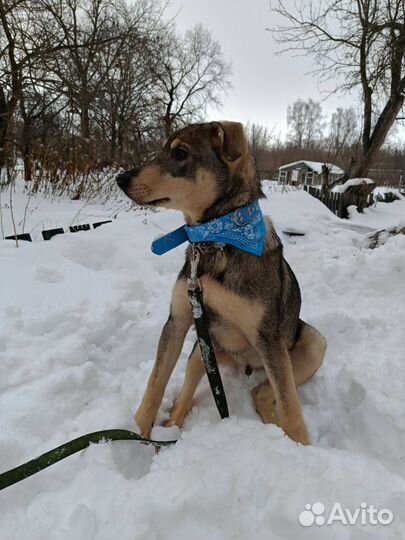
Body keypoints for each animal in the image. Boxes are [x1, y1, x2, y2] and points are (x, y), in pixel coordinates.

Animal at [116, 122, 326, 448]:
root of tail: (244, 365)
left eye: (180, 153)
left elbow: (291, 407)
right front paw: (134, 433)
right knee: (186, 398)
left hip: (311, 345)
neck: (215, 240)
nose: (121, 178)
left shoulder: (268, 337)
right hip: (204, 350)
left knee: (262, 392)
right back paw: (170, 431)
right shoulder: (177, 321)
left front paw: (302, 448)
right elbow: (155, 382)